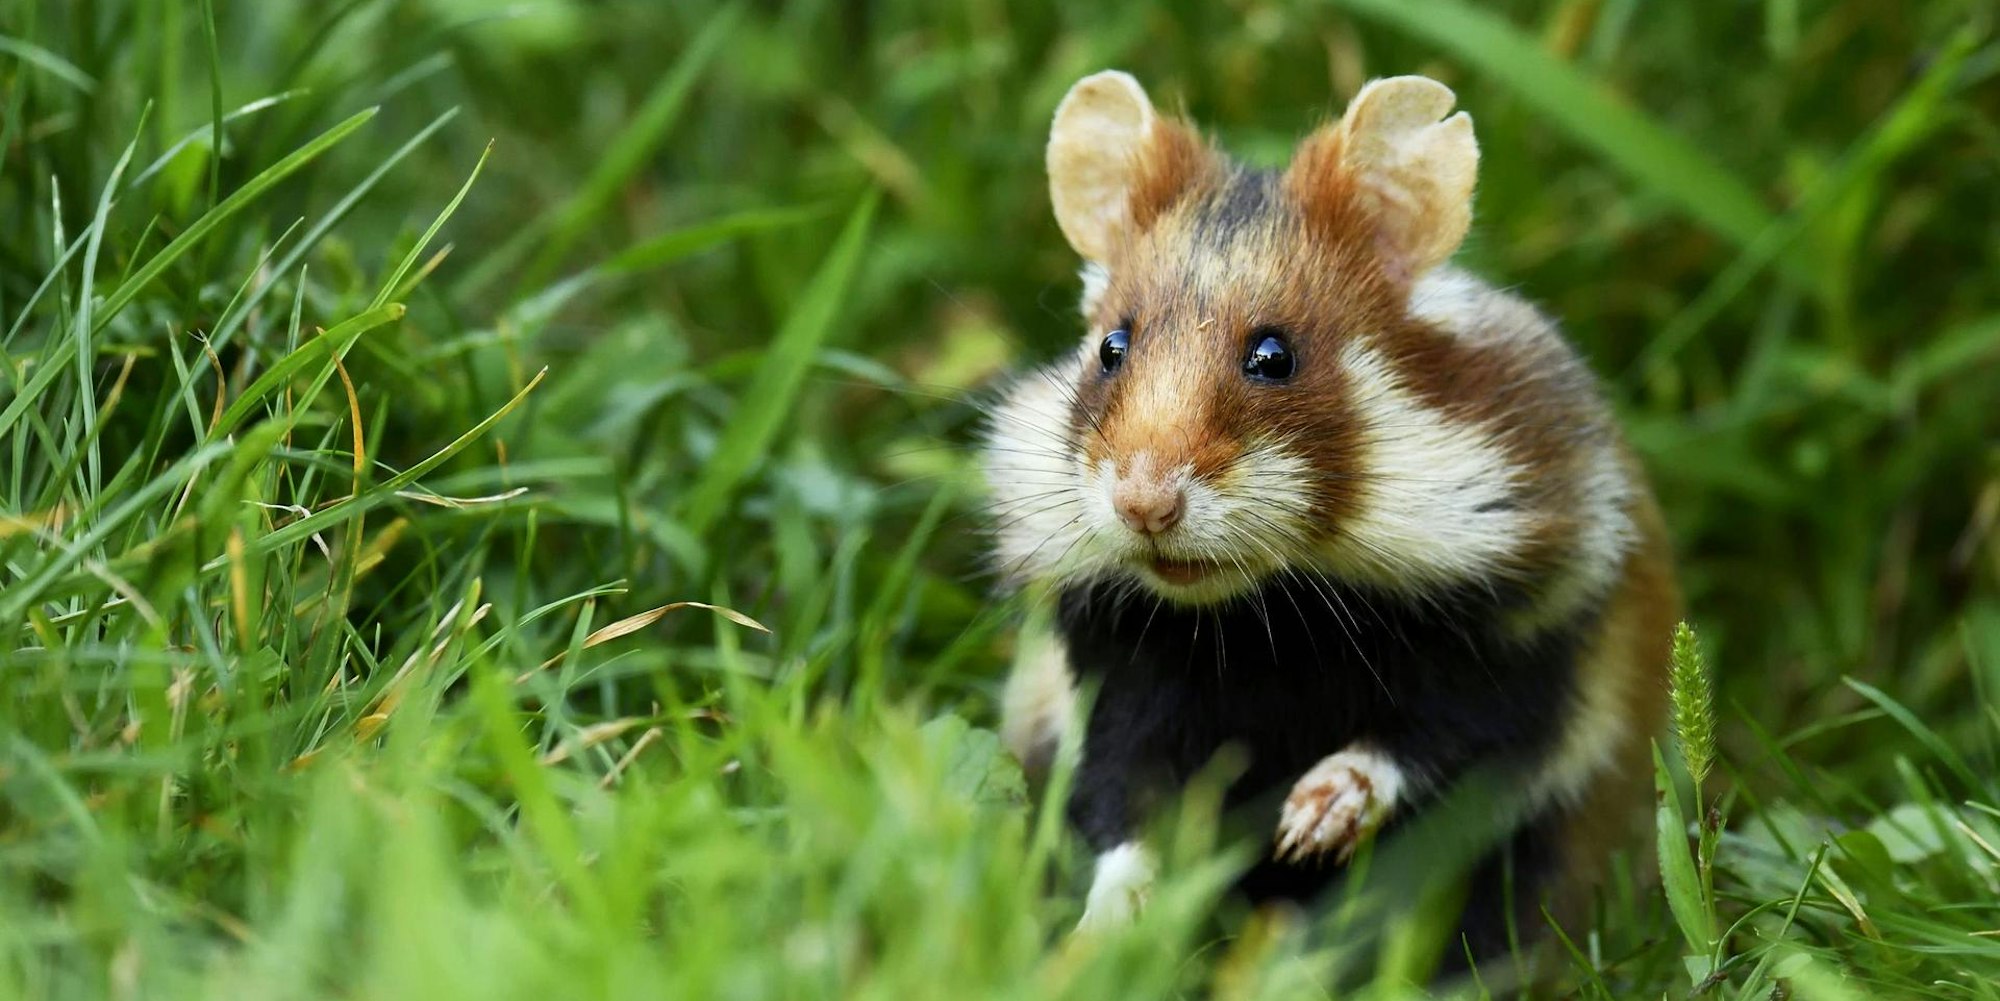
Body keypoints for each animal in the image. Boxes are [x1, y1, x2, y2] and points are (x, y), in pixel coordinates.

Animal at [982, 71, 1679, 960]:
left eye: (1274, 356)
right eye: (1111, 347)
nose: (1143, 504)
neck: (1265, 615)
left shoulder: (1520, 646)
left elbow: (1433, 743)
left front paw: (1307, 822)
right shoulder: (1119, 676)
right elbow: (1120, 807)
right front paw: (1104, 935)